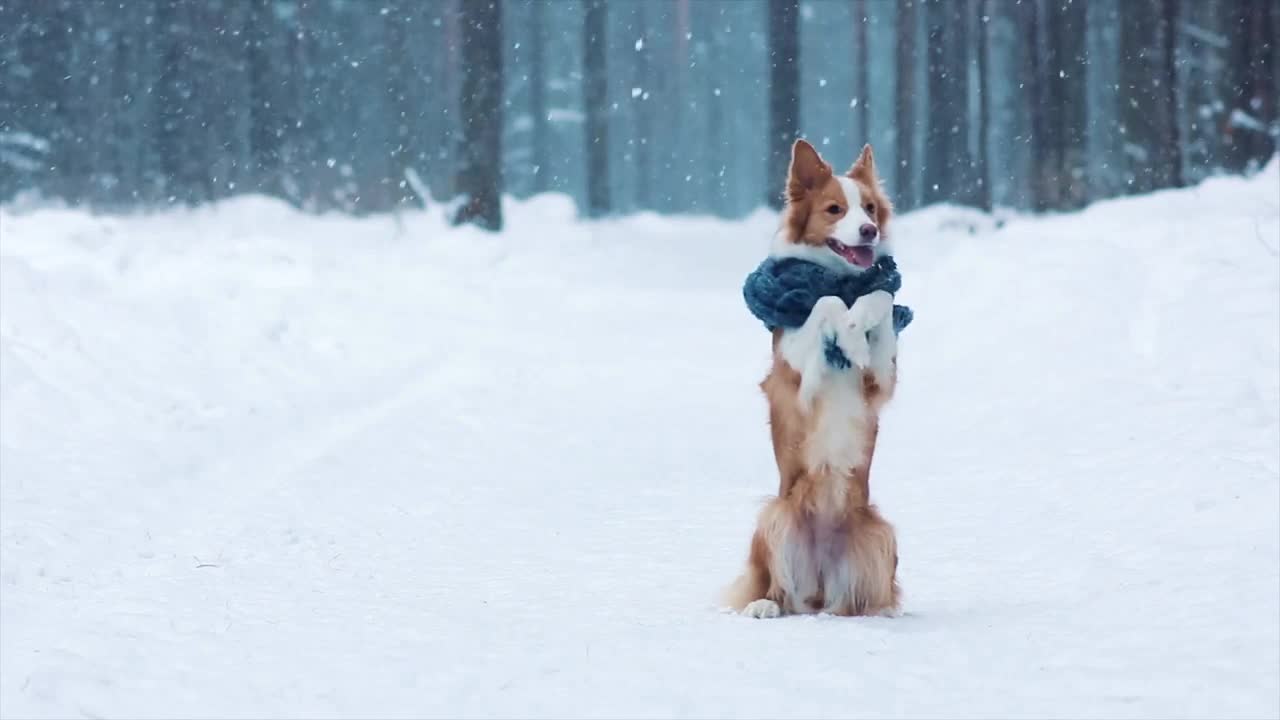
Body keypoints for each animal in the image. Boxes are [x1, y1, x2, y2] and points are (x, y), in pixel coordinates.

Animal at [727, 139, 906, 617]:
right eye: (834, 209)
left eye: (869, 208)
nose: (869, 231)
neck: (840, 278)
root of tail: (821, 589)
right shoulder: (797, 376)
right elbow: (826, 303)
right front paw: (848, 332)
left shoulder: (881, 380)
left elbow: (880, 296)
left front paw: (858, 331)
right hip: (775, 516)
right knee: (780, 592)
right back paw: (765, 605)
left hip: (878, 530)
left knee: (859, 600)